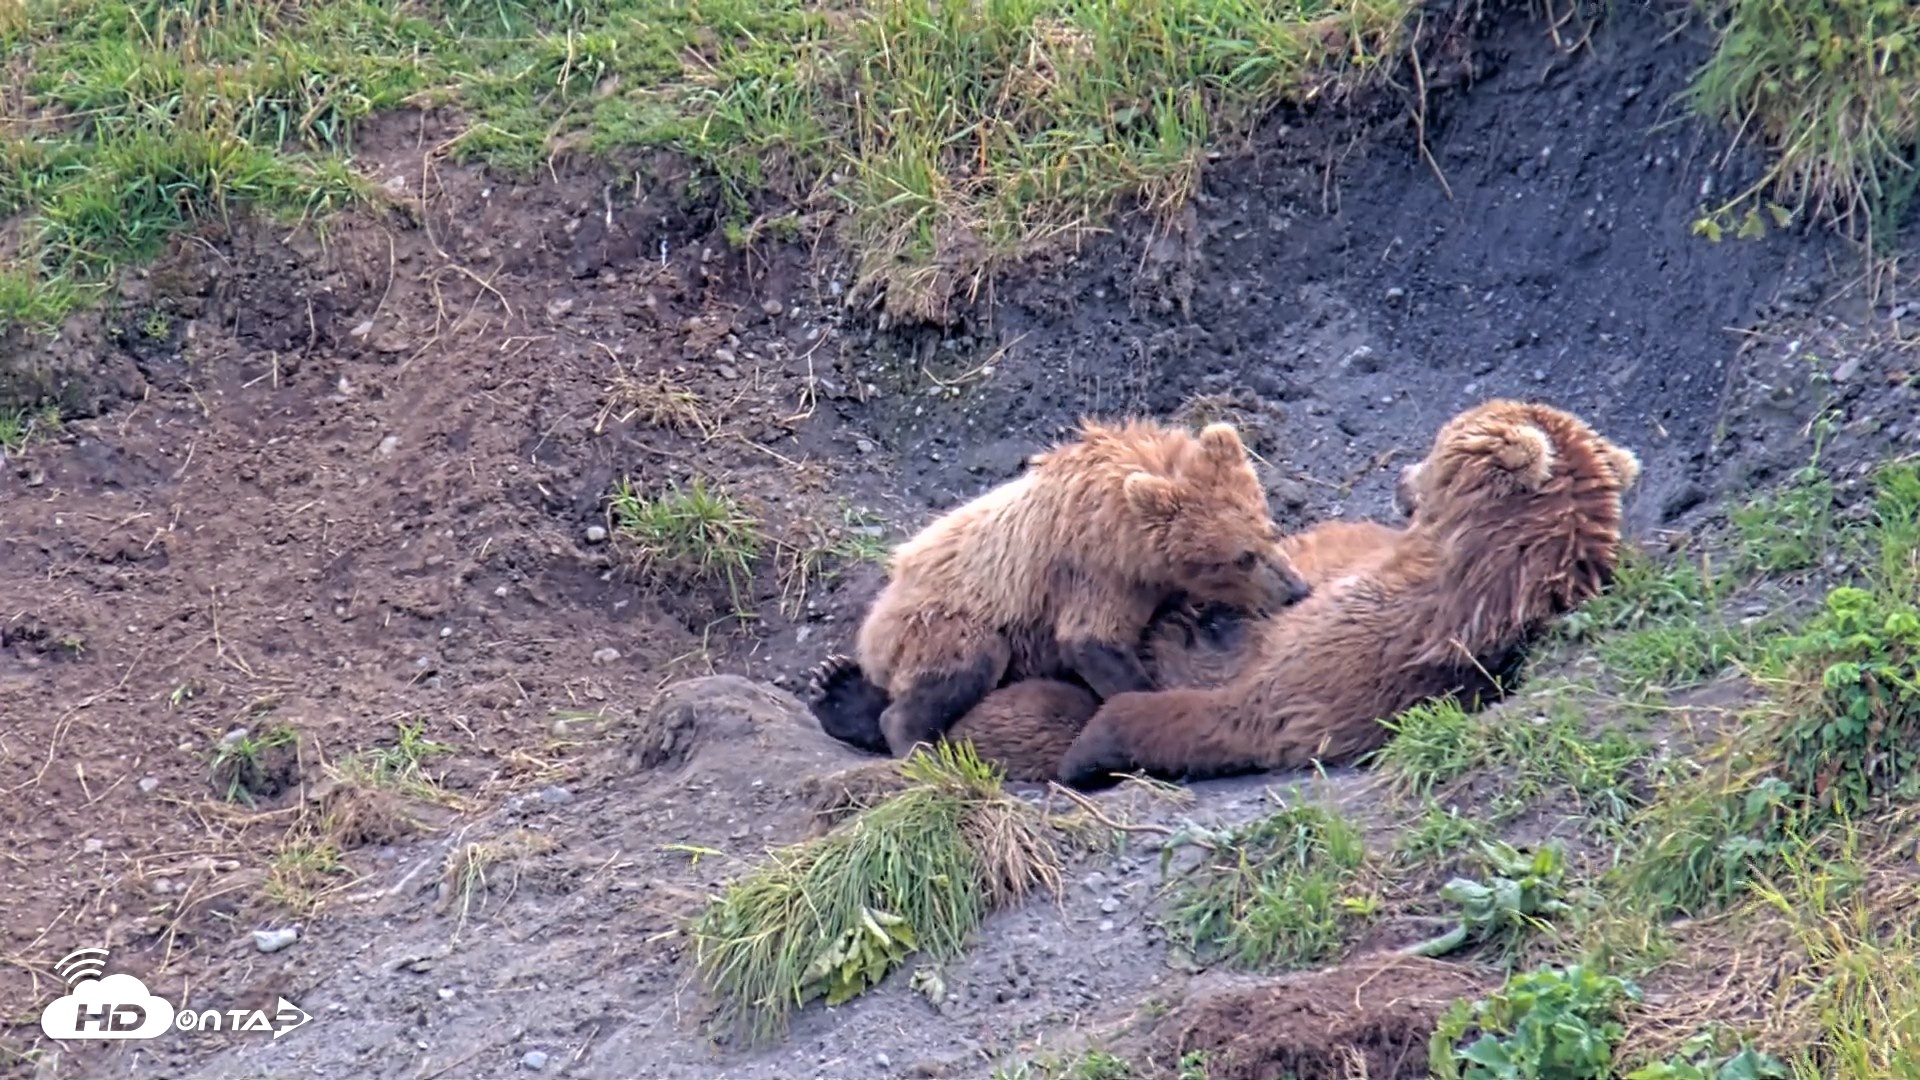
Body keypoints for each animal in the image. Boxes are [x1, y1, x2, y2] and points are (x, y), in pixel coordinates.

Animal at [835, 416, 1313, 759]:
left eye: (1269, 529)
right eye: (1241, 557)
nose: (1297, 589)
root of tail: (873, 625)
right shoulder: (1094, 573)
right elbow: (1093, 641)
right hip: (936, 622)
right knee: (970, 659)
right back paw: (912, 742)